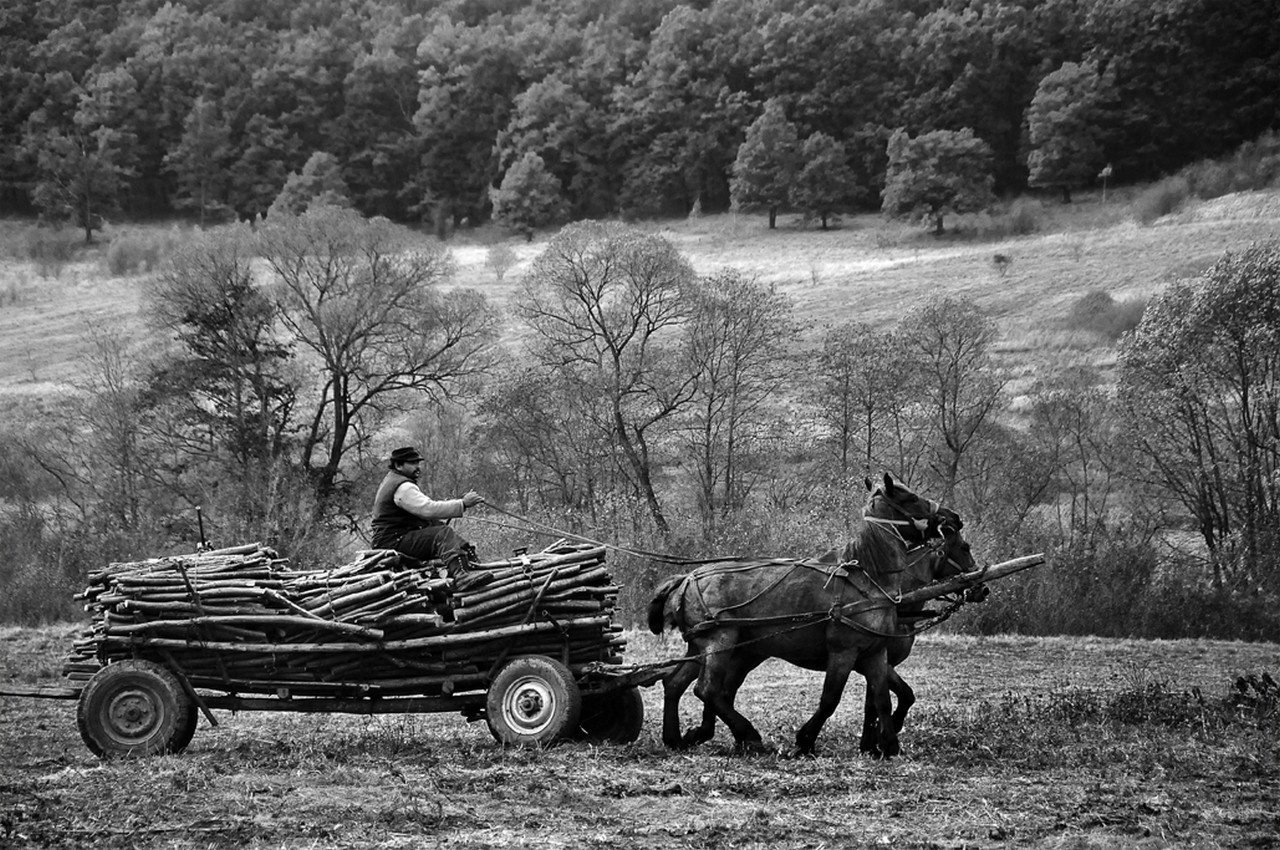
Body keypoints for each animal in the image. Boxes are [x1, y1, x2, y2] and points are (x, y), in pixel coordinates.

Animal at [655, 471, 972, 757]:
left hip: (706, 648)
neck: (870, 578)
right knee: (708, 690)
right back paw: (748, 735)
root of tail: (687, 578)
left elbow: (883, 700)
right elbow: (831, 699)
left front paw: (888, 746)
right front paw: (805, 741)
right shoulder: (844, 652)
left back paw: (677, 738)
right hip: (720, 643)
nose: (954, 517)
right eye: (912, 497)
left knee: (677, 683)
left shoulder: (875, 654)